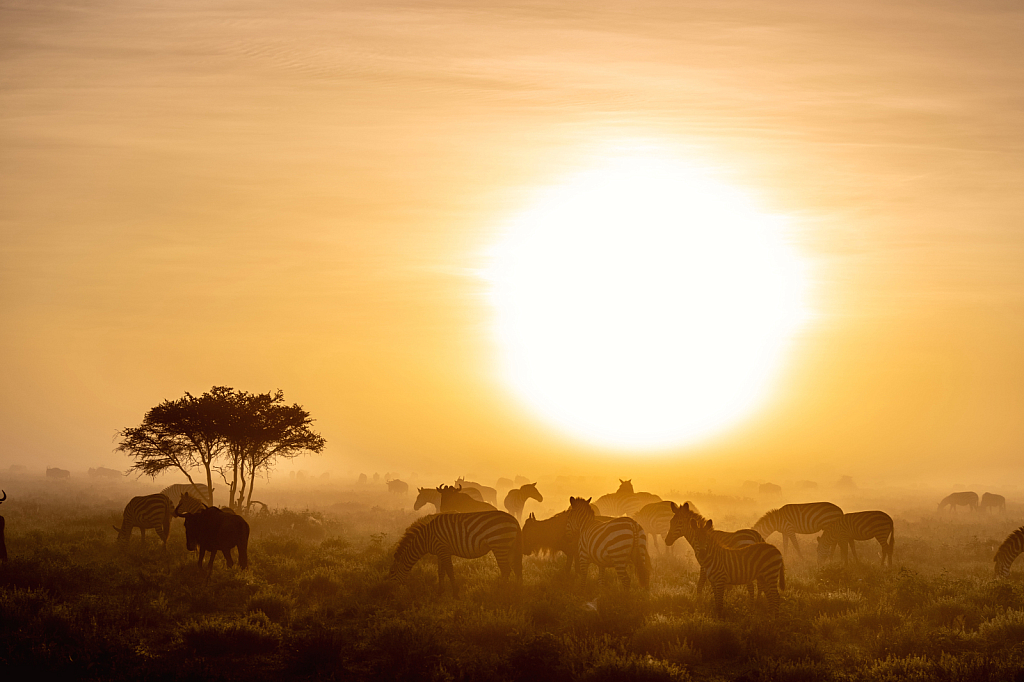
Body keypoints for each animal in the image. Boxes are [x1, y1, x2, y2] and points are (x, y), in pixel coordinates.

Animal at [387, 507, 524, 593]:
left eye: (392, 572)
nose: (389, 591)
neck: (426, 538)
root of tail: (515, 520)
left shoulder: (443, 549)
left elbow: (450, 571)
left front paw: (455, 592)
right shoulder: (439, 552)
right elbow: (441, 572)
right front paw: (440, 591)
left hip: (499, 544)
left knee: (506, 569)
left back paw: (500, 590)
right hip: (510, 547)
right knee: (516, 568)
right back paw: (517, 590)